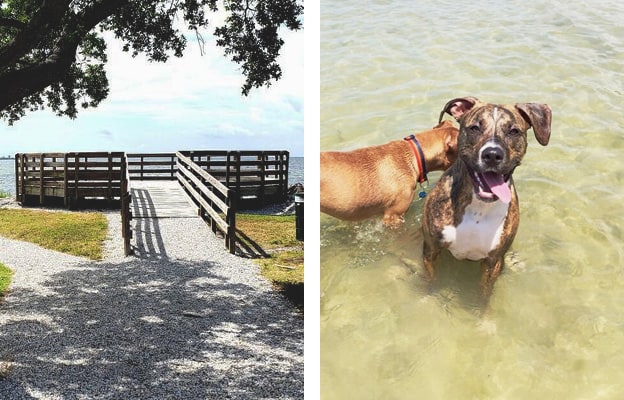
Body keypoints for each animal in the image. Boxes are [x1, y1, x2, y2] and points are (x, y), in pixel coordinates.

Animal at [422, 97, 548, 300]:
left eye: (514, 131)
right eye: (475, 128)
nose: (492, 154)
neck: (478, 208)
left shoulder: (493, 262)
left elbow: (483, 294)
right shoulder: (431, 249)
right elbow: (430, 280)